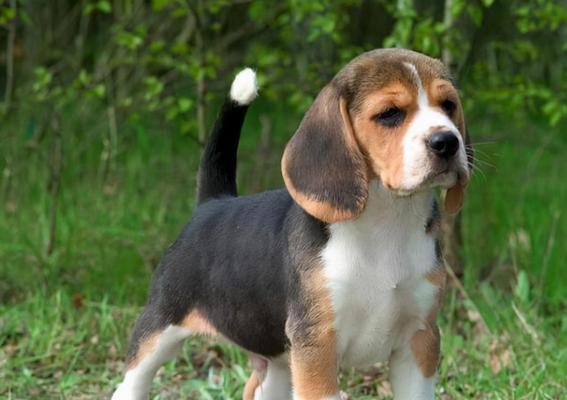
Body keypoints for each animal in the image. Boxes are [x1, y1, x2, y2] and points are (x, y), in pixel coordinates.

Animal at [111, 49, 470, 400]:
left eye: (448, 105)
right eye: (390, 113)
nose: (447, 142)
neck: (387, 222)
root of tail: (213, 202)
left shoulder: (419, 339)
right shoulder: (316, 344)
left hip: (277, 364)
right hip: (159, 327)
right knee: (131, 383)